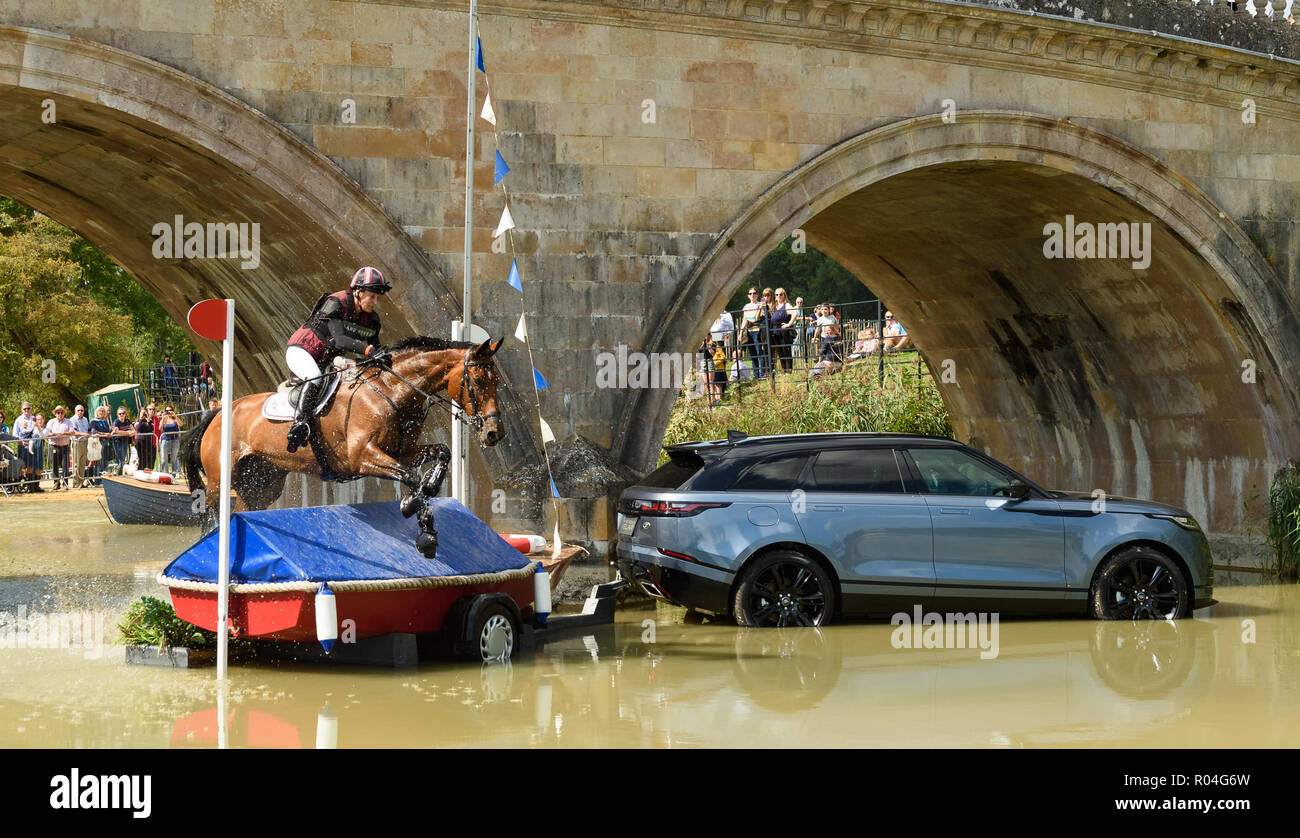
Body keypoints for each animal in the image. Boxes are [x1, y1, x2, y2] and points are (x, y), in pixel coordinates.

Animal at [180, 332, 504, 556]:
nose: (494, 433)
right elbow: (411, 477)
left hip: (262, 482)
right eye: (477, 380)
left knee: (245, 510)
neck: (391, 390)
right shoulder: (363, 456)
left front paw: (428, 501)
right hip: (219, 482)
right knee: (213, 513)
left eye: (498, 381)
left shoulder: (401, 452)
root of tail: (218, 412)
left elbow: (441, 454)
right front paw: (415, 512)